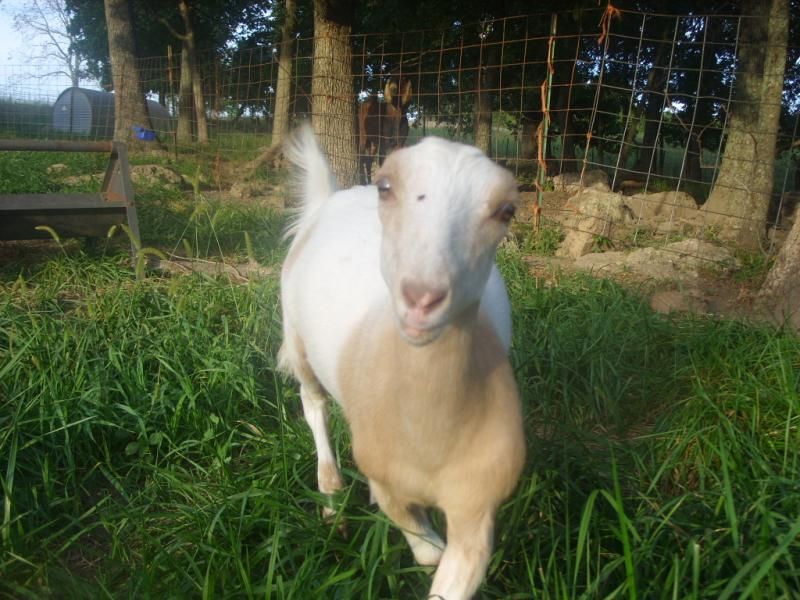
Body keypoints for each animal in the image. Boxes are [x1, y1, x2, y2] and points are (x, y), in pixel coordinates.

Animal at [279, 125, 526, 600]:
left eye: (507, 210)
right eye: (386, 186)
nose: (422, 297)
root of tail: (329, 198)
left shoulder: (477, 499)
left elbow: (449, 571)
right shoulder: (381, 468)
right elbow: (427, 549)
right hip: (295, 334)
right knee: (312, 401)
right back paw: (331, 492)